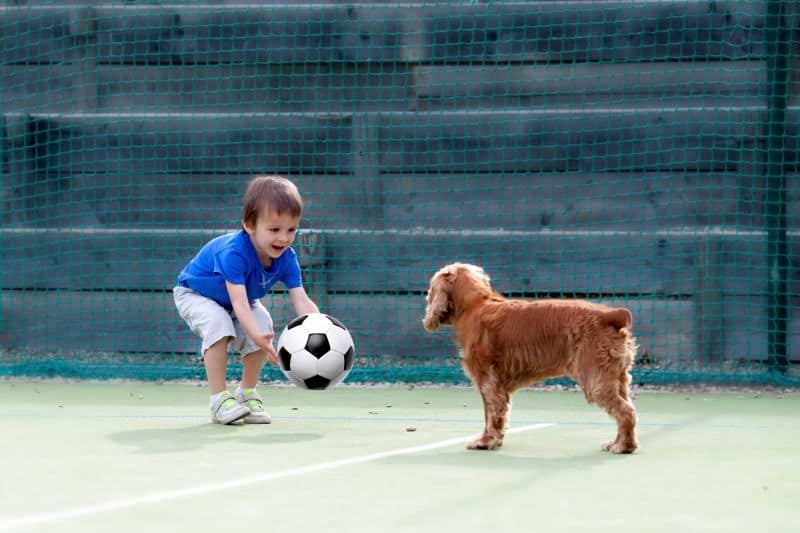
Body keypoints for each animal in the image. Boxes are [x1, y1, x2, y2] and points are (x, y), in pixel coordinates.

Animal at [424, 262, 636, 454]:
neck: (476, 304)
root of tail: (610, 315)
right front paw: (494, 440)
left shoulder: (488, 382)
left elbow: (490, 415)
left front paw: (485, 442)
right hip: (618, 378)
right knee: (628, 408)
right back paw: (620, 443)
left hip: (595, 381)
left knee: (626, 411)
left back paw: (622, 447)